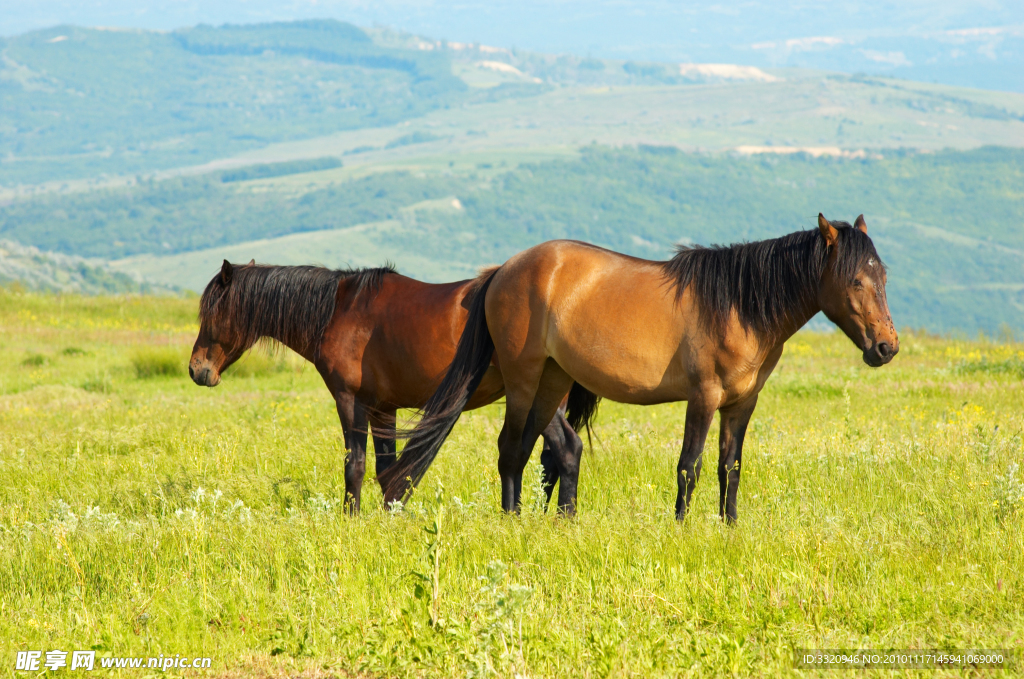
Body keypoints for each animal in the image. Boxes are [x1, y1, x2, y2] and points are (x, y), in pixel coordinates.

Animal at [189, 262, 589, 512]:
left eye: (211, 312)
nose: (197, 370)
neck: (338, 311)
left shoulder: (351, 401)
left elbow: (356, 465)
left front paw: (350, 518)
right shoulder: (383, 408)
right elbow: (387, 472)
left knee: (566, 449)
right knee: (551, 458)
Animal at [380, 215, 901, 522]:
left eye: (883, 276)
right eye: (855, 279)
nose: (886, 347)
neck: (738, 306)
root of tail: (503, 270)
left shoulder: (741, 405)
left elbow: (729, 467)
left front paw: (729, 526)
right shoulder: (704, 398)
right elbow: (690, 466)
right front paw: (682, 526)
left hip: (552, 381)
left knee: (531, 450)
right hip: (523, 379)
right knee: (510, 450)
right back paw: (512, 523)